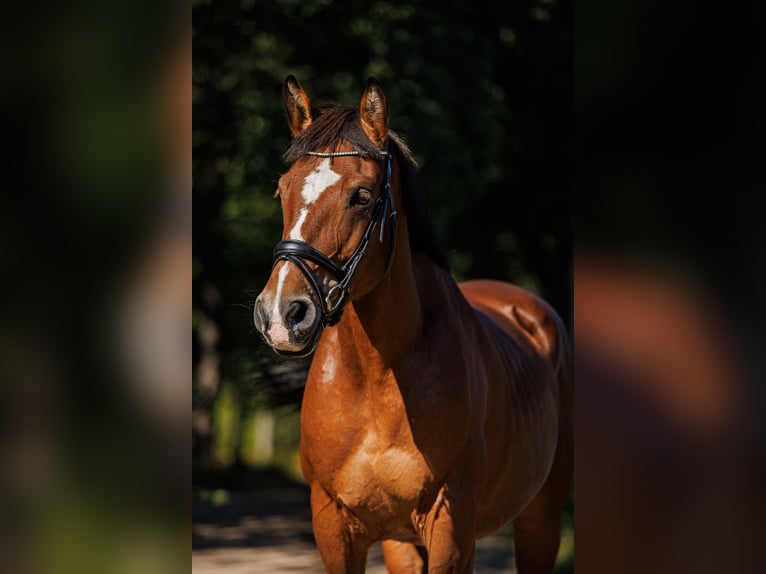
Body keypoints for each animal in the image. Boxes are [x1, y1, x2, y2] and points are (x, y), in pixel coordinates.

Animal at [255, 77, 572, 574]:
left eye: (362, 196)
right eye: (282, 190)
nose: (282, 315)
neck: (378, 378)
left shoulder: (449, 524)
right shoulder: (335, 525)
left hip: (540, 520)